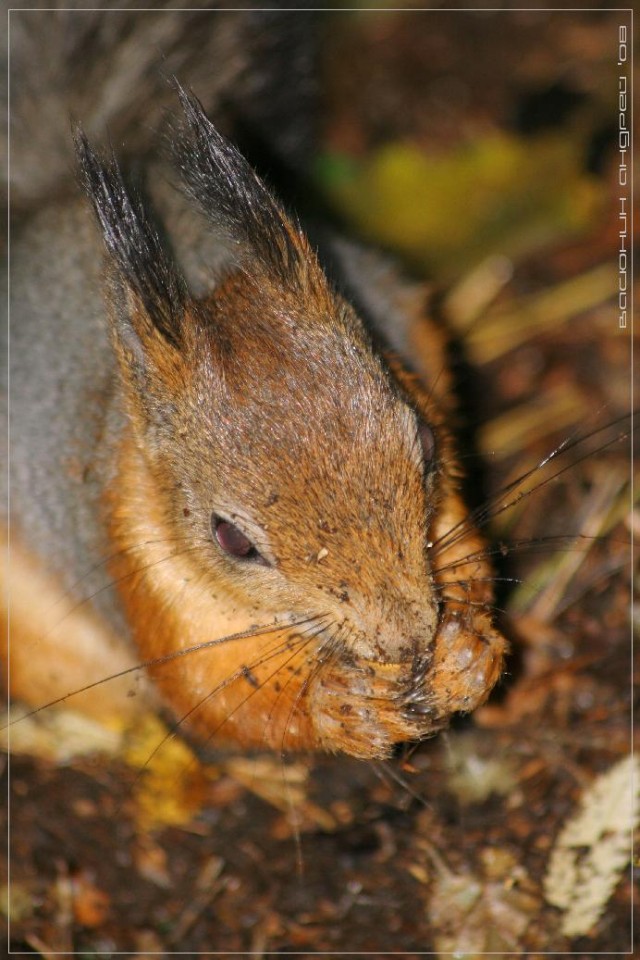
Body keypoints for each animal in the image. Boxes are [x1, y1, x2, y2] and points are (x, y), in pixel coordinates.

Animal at [2, 3, 508, 760]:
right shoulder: (148, 574)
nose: (406, 638)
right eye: (231, 541)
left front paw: (465, 654)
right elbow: (221, 699)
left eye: (424, 444)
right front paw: (338, 705)